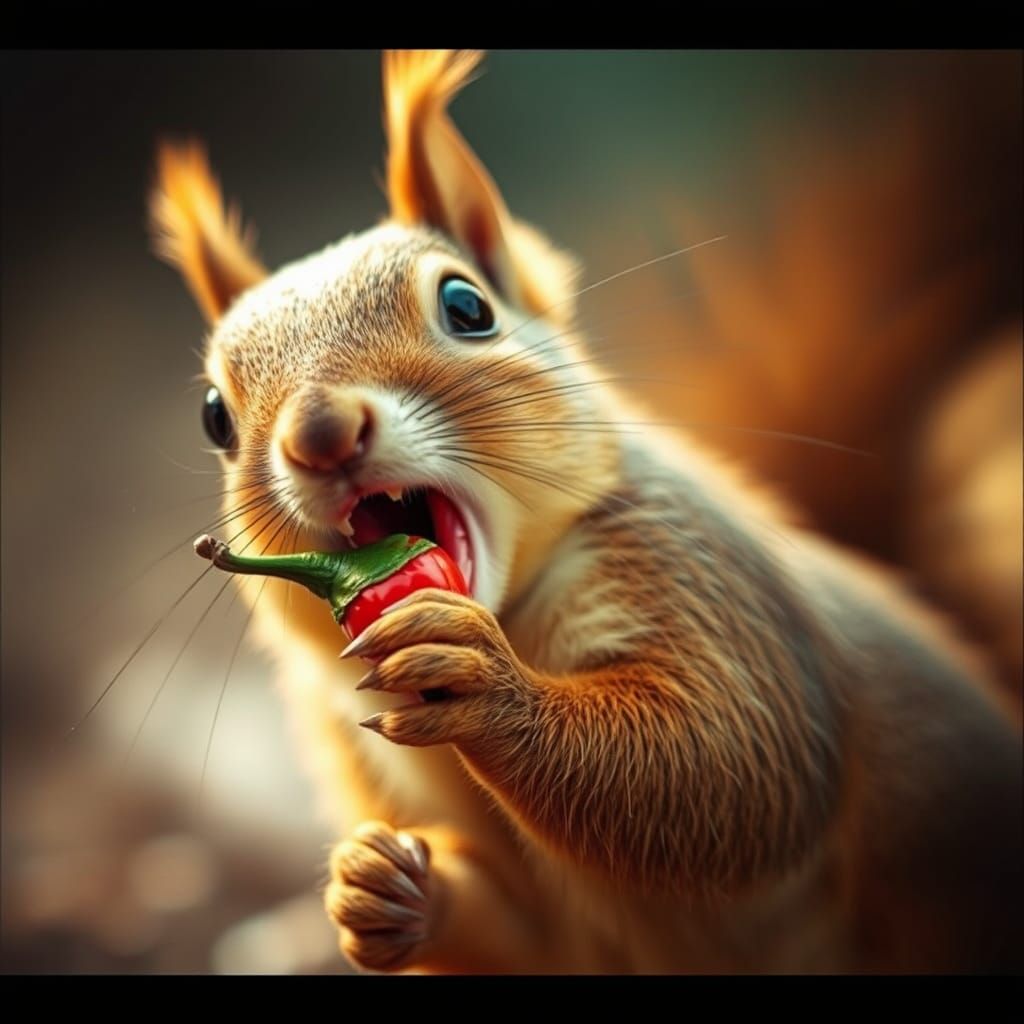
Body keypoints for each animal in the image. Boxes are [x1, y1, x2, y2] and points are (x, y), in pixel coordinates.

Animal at [150, 50, 1022, 973]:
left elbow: (726, 761)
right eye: (214, 415)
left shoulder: (710, 588)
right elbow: (511, 935)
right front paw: (376, 888)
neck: (509, 614)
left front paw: (491, 688)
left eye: (467, 307)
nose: (320, 434)